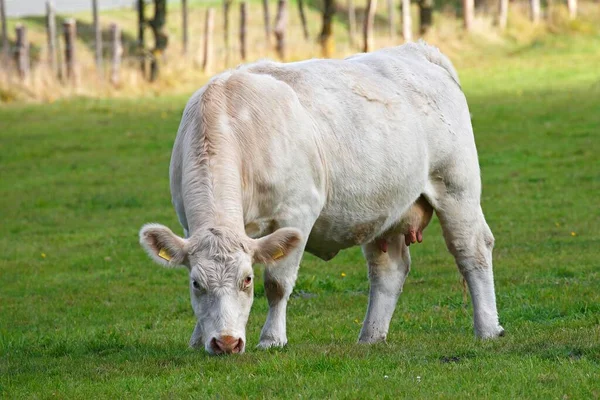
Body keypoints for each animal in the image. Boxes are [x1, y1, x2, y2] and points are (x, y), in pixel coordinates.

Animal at [138, 40, 504, 354]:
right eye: (196, 284)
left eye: (247, 279)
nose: (226, 343)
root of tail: (418, 50)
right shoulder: (189, 224)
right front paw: (198, 339)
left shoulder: (297, 213)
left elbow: (278, 283)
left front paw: (272, 339)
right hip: (385, 208)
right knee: (388, 269)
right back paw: (371, 336)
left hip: (457, 187)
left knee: (471, 250)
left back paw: (487, 328)